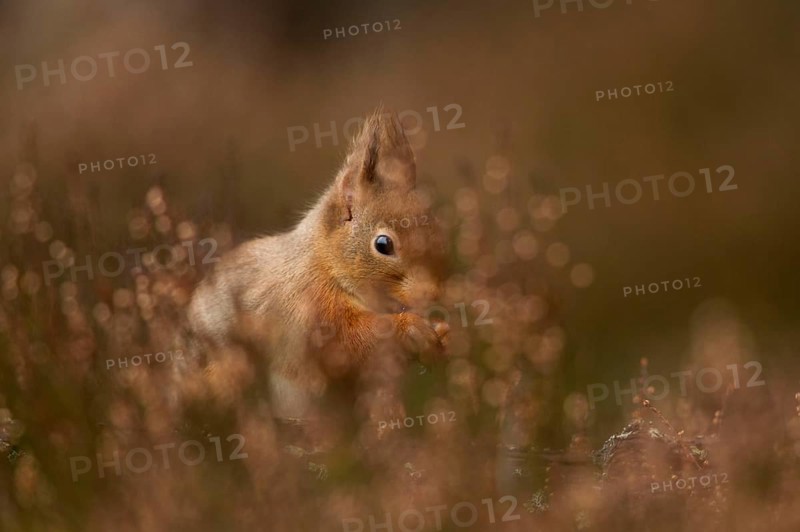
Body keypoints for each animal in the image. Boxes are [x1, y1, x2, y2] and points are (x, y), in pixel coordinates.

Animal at [187, 109, 449, 424]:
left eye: (438, 229)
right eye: (383, 244)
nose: (432, 293)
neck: (327, 267)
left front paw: (441, 334)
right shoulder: (303, 307)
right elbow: (349, 341)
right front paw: (412, 328)